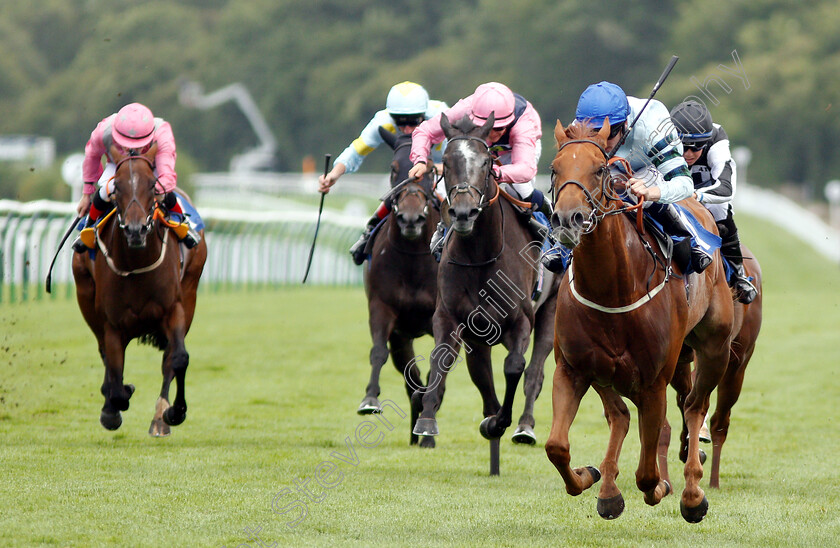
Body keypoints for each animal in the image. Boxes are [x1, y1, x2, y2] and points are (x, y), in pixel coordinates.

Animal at [74, 144, 208, 436]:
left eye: (152, 185)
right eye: (117, 187)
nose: (136, 230)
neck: (136, 263)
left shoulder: (174, 309)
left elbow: (178, 358)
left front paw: (174, 412)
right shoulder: (112, 322)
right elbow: (115, 370)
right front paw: (114, 404)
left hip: (190, 292)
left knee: (168, 357)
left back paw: (160, 418)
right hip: (85, 296)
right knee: (104, 352)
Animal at [358, 128, 440, 446]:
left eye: (430, 172)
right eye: (394, 170)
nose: (410, 218)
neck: (413, 259)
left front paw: (428, 431)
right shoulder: (383, 309)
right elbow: (378, 352)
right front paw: (370, 399)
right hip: (402, 337)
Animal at [412, 112, 560, 450]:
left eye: (485, 161)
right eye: (447, 161)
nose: (464, 213)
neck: (481, 254)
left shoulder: (522, 320)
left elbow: (515, 366)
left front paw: (501, 421)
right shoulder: (451, 316)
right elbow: (442, 359)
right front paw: (426, 420)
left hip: (551, 309)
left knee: (535, 373)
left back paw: (524, 427)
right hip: (479, 337)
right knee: (482, 374)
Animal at [544, 120, 736, 524]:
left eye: (600, 169)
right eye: (554, 169)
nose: (568, 219)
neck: (612, 289)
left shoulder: (653, 382)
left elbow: (647, 472)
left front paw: (663, 487)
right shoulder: (572, 368)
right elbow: (556, 446)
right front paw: (588, 477)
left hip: (715, 349)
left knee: (694, 406)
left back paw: (693, 492)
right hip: (607, 372)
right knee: (619, 415)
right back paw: (607, 489)